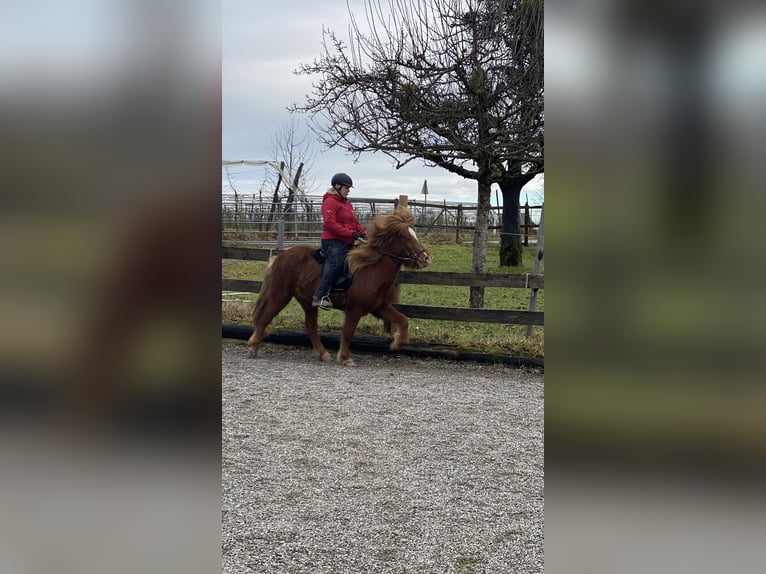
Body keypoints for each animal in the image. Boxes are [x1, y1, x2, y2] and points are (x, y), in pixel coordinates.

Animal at [250, 209, 432, 366]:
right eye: (404, 237)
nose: (426, 258)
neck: (371, 269)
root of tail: (280, 257)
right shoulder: (354, 309)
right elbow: (348, 333)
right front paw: (345, 358)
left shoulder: (381, 308)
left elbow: (403, 321)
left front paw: (397, 343)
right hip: (280, 295)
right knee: (265, 318)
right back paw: (253, 347)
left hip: (307, 301)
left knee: (311, 326)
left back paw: (322, 354)